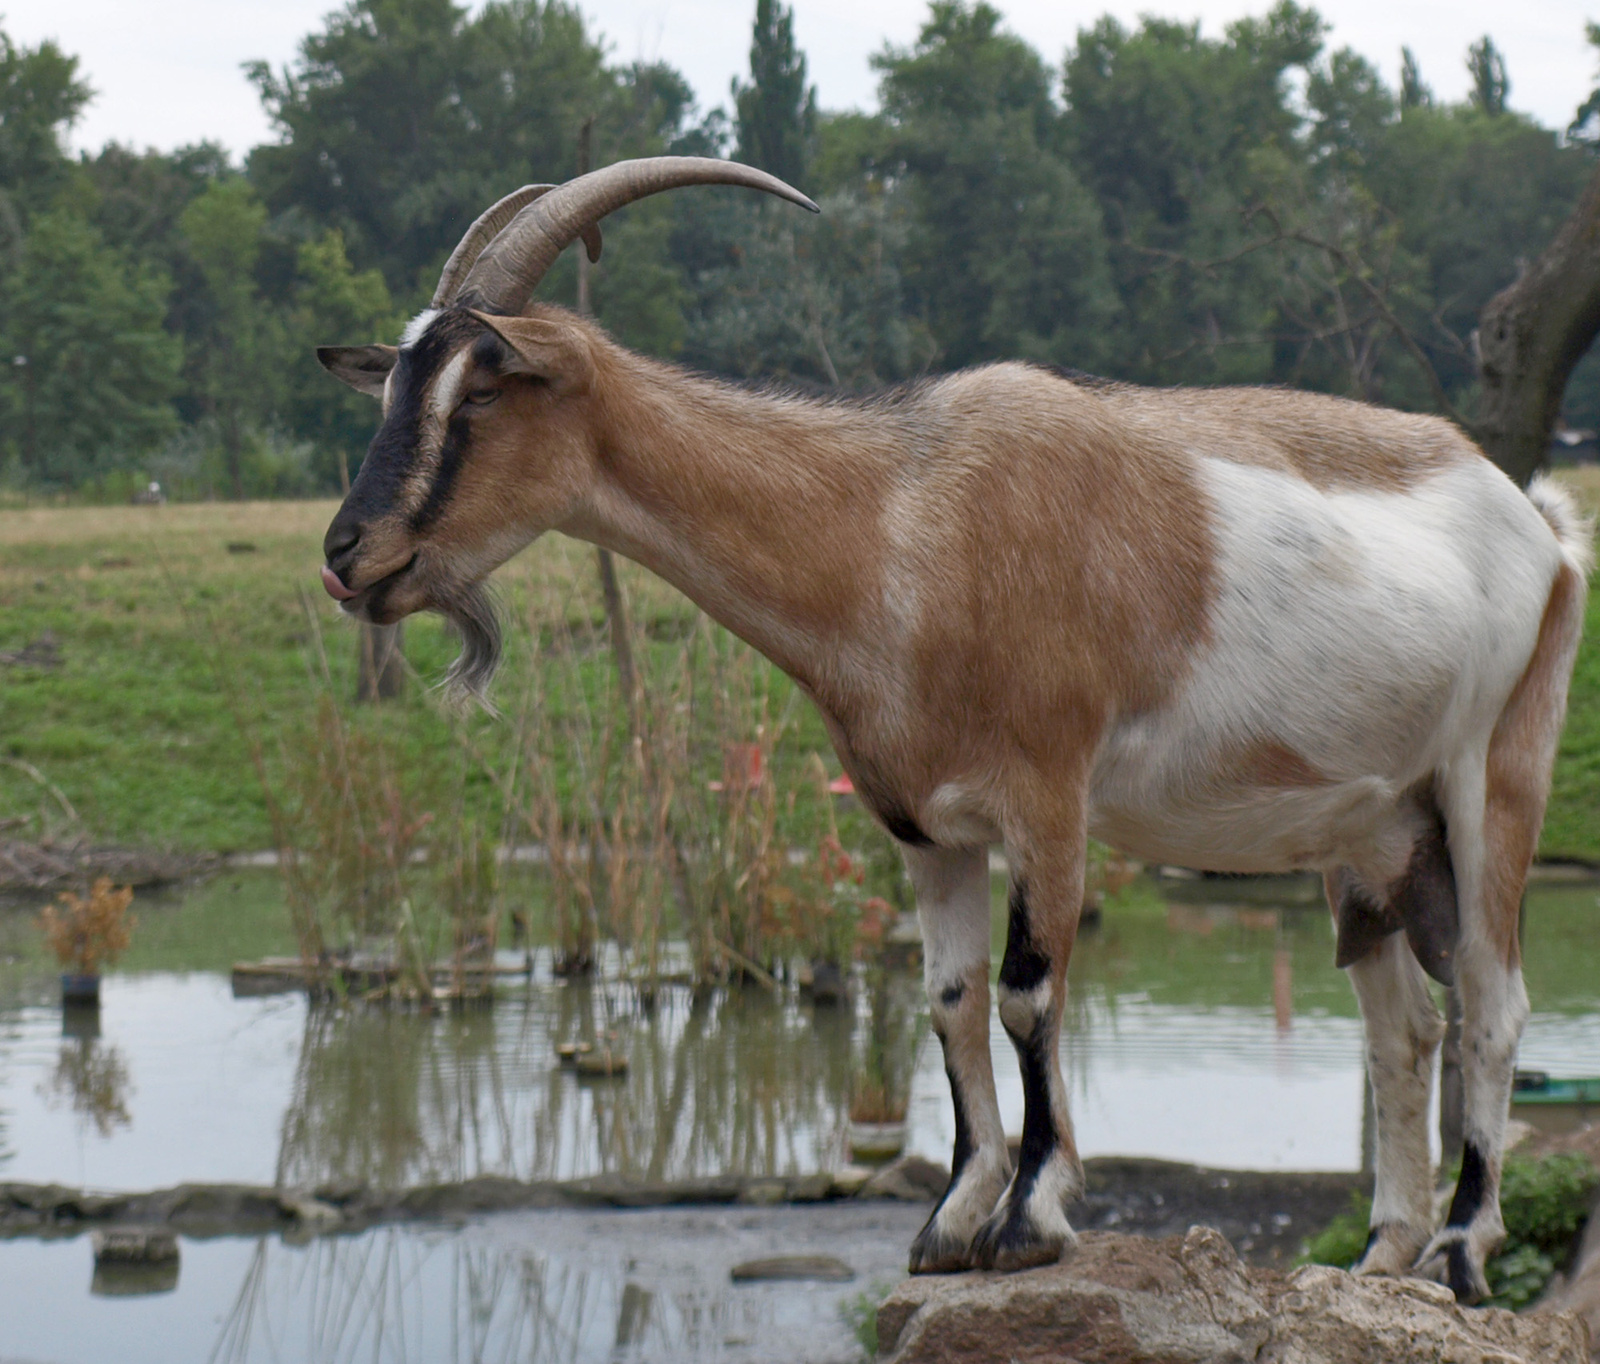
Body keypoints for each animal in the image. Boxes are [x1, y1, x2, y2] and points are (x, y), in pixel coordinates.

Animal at [312, 154, 1587, 1293]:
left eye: (480, 387)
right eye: (394, 383)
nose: (347, 555)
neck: (897, 519)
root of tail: (1539, 520)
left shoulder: (1050, 796)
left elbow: (1028, 991)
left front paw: (1030, 1217)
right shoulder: (923, 823)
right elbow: (948, 998)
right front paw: (950, 1222)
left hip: (1494, 773)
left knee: (1492, 999)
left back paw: (1462, 1250)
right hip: (1364, 830)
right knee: (1402, 1028)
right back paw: (1380, 1254)